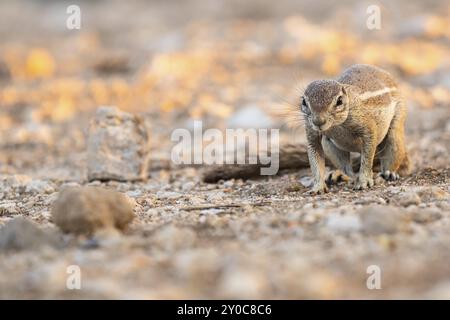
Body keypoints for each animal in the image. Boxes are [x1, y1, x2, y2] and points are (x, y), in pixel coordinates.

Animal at [302, 63, 412, 192]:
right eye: (304, 102)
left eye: (339, 101)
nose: (318, 121)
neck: (336, 125)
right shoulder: (311, 132)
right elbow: (315, 159)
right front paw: (318, 186)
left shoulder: (367, 126)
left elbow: (367, 158)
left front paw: (364, 181)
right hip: (329, 145)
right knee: (346, 167)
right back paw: (341, 174)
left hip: (396, 127)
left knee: (392, 150)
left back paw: (388, 174)